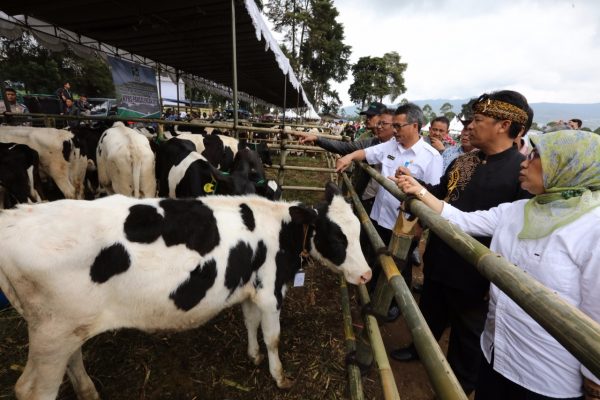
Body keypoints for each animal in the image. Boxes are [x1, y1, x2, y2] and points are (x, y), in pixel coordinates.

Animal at [0, 183, 370, 398]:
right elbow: (274, 338)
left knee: (73, 359)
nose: (366, 275)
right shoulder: (270, 293)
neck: (280, 231)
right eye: (337, 237)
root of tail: (14, 217)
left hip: (66, 328)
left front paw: (252, 356)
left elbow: (249, 323)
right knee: (30, 389)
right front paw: (279, 377)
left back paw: (89, 391)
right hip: (51, 333)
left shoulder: (250, 288)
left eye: (358, 231)